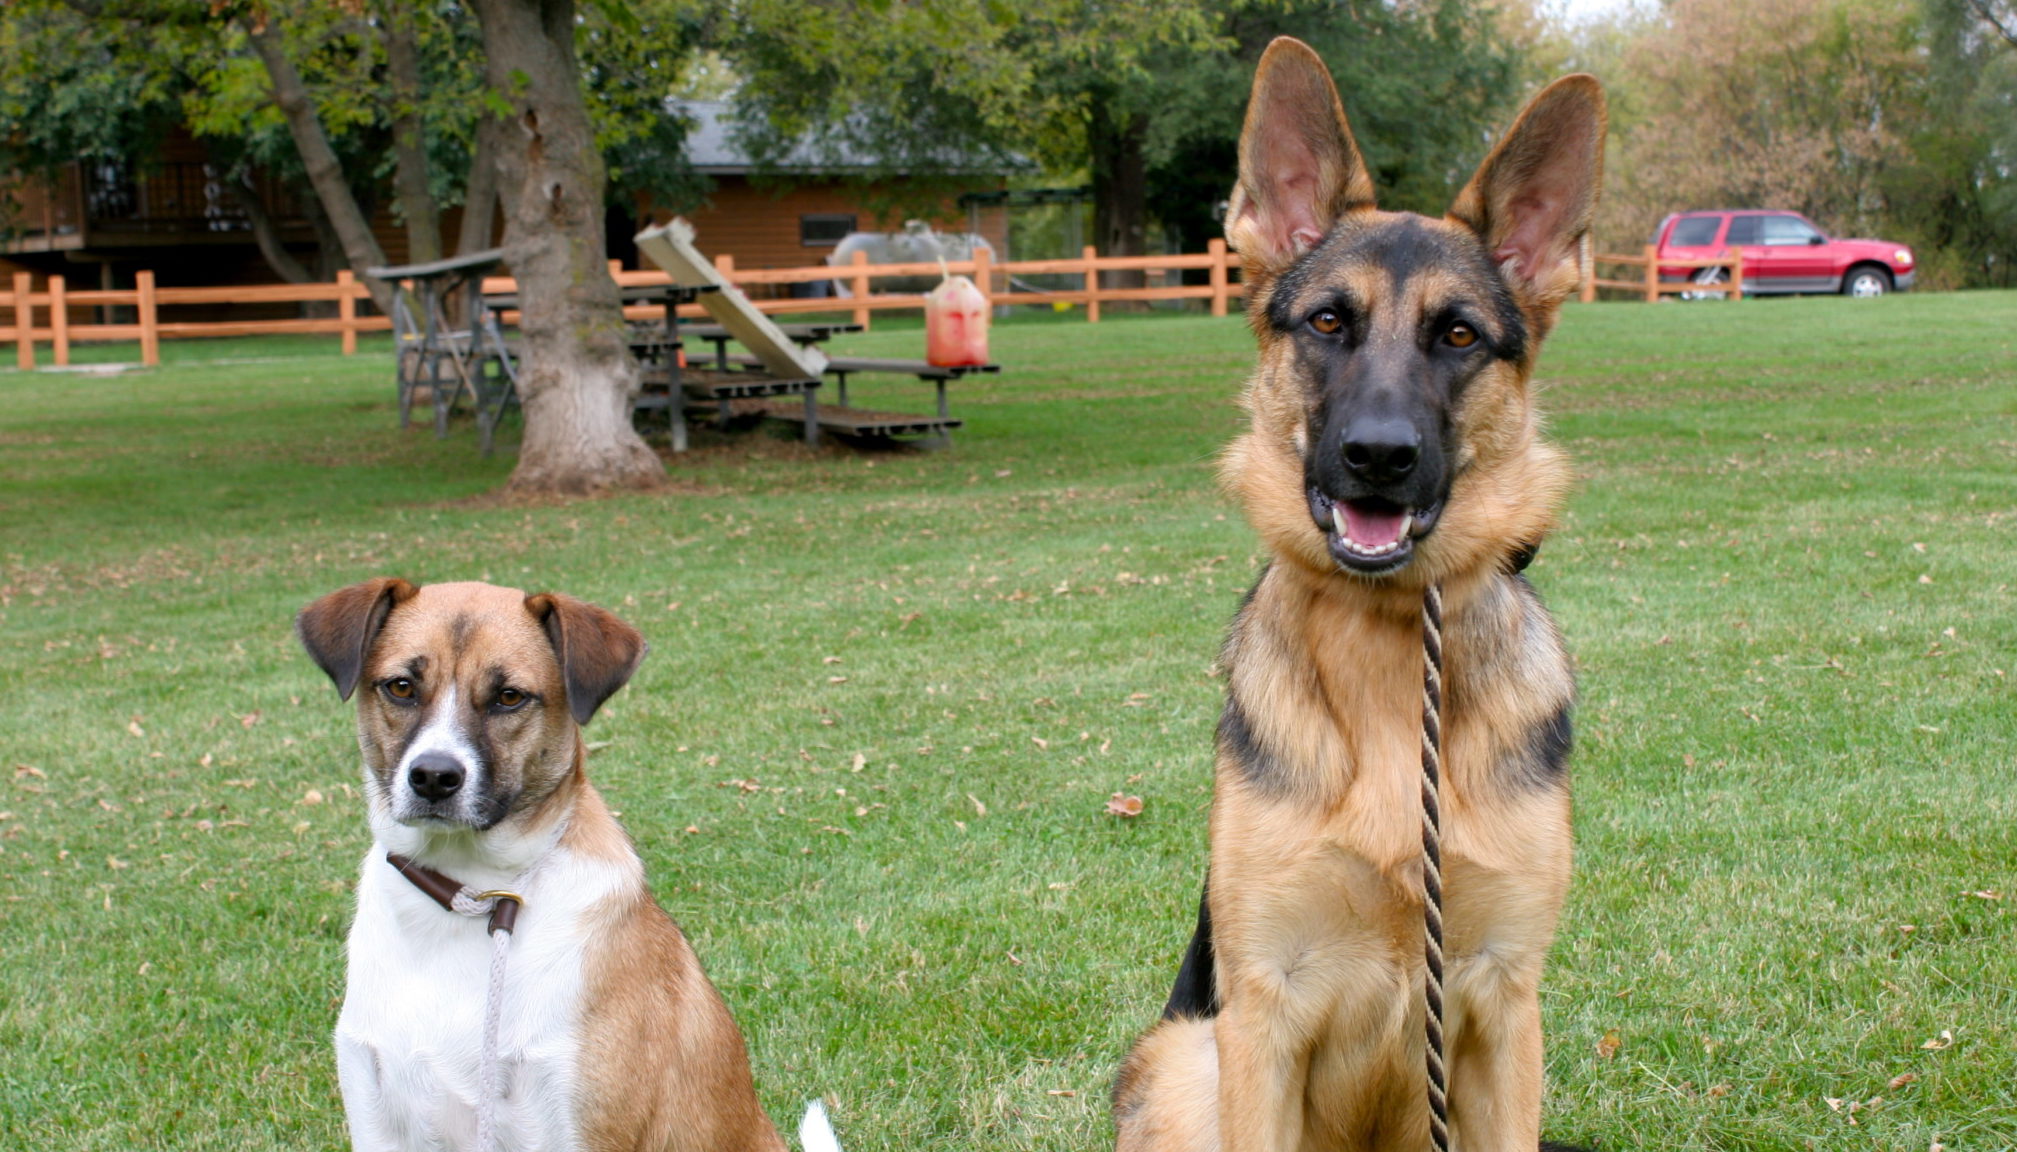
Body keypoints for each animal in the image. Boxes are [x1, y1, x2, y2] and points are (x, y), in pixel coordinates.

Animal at [1113, 31, 1597, 1152]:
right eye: (1329, 322)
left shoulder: (1501, 1006)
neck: (1387, 644)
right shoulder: (1260, 1014)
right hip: (1184, 1058)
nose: (1379, 456)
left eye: (1459, 336)